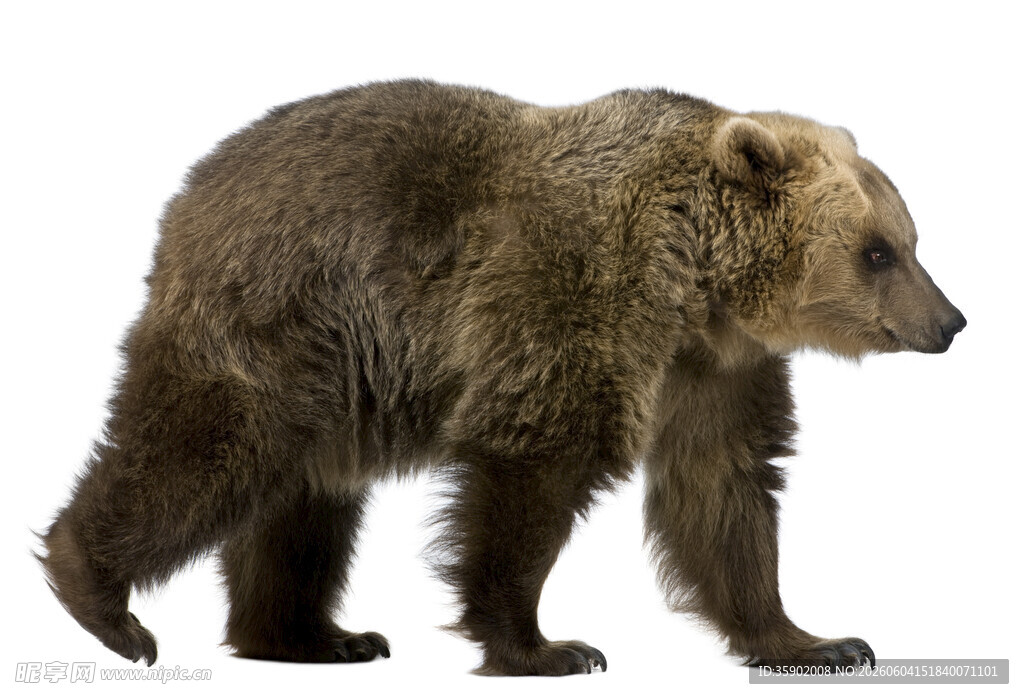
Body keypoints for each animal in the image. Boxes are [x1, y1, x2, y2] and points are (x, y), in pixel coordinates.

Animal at [39, 79, 966, 676]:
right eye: (877, 251)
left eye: (910, 239)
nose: (951, 321)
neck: (692, 280)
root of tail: (190, 192)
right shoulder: (567, 299)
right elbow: (534, 467)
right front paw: (549, 646)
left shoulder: (712, 367)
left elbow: (725, 483)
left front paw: (815, 640)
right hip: (284, 317)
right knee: (207, 453)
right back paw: (102, 599)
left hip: (335, 374)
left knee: (304, 499)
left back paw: (312, 634)